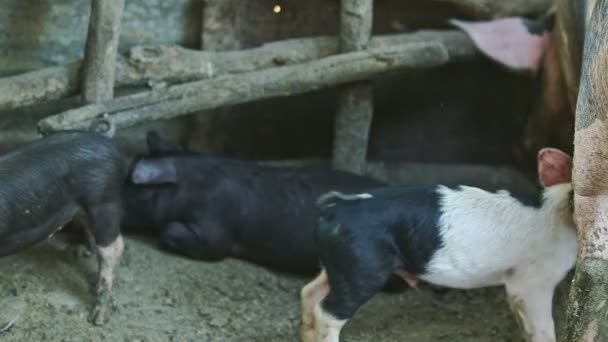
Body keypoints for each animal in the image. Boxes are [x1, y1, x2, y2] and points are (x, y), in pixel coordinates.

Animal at [0, 131, 127, 326]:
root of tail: (114, 148)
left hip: (104, 202)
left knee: (109, 251)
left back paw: (98, 317)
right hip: (87, 212)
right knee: (116, 244)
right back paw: (95, 288)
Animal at [304, 148, 576, 342]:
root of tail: (336, 207)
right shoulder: (533, 280)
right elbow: (543, 328)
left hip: (339, 264)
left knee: (309, 292)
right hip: (362, 266)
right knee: (326, 312)